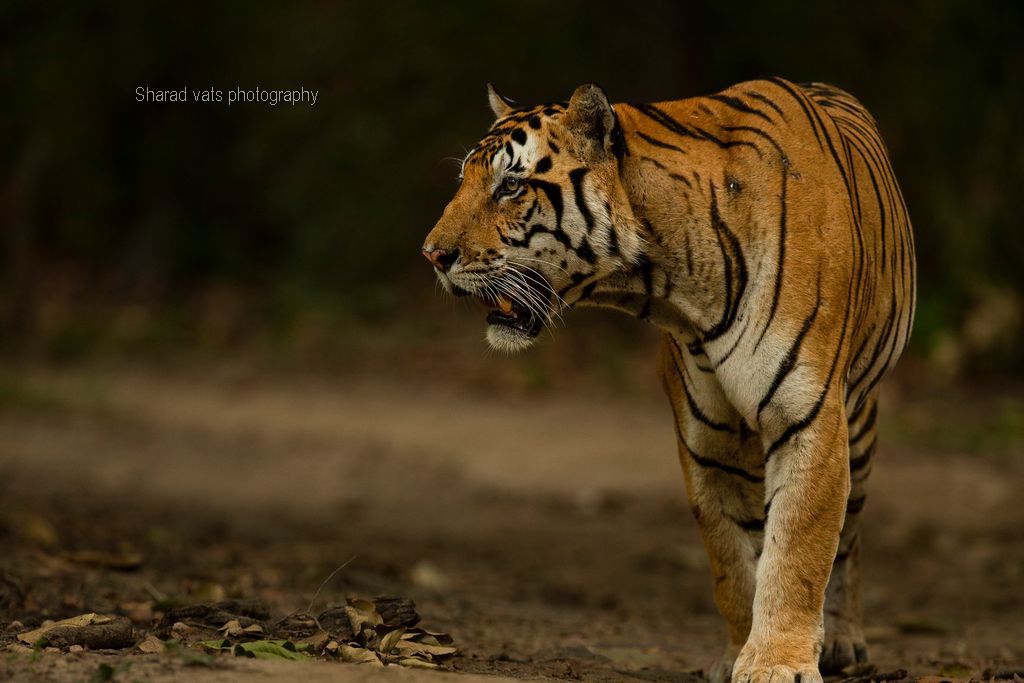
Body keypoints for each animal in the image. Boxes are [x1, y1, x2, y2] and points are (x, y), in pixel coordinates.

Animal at [419, 80, 917, 683]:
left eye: (510, 185)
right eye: (465, 179)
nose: (432, 254)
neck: (671, 283)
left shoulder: (808, 417)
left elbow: (800, 548)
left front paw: (778, 663)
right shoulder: (707, 442)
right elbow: (732, 560)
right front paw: (737, 653)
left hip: (860, 425)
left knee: (850, 538)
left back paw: (844, 641)